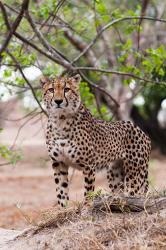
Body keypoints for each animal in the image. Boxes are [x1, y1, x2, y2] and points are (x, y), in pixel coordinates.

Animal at [40, 74, 151, 207]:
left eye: (66, 89)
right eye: (51, 90)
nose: (58, 101)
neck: (60, 120)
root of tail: (142, 131)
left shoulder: (88, 165)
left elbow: (88, 190)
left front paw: (87, 206)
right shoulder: (58, 162)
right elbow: (61, 190)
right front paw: (63, 208)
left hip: (134, 174)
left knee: (133, 193)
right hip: (114, 173)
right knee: (119, 191)